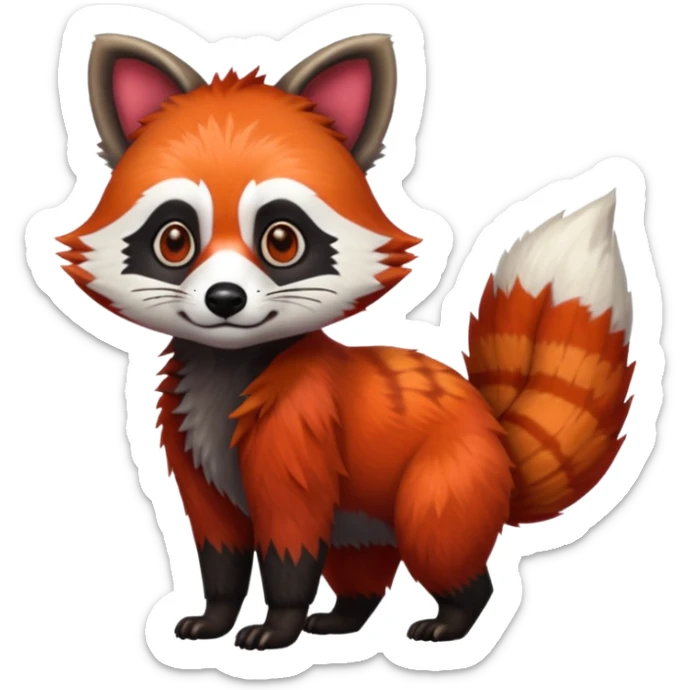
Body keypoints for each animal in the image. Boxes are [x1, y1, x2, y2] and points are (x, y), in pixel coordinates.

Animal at [54, 32, 634, 651]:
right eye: (174, 239)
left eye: (281, 240)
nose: (224, 299)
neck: (228, 371)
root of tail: (496, 434)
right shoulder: (196, 460)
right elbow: (220, 553)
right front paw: (216, 615)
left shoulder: (300, 434)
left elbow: (290, 545)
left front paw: (277, 625)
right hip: (364, 520)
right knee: (362, 568)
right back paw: (345, 616)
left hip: (443, 484)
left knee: (448, 553)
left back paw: (453, 618)